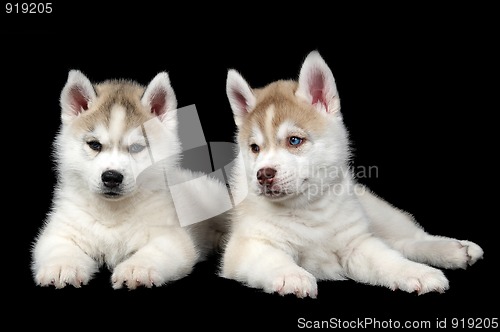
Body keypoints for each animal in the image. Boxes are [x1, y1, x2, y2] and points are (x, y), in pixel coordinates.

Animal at [31, 69, 227, 288]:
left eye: (136, 148)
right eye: (95, 145)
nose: (112, 177)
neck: (112, 213)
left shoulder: (171, 236)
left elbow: (155, 251)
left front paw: (137, 268)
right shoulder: (59, 232)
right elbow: (59, 247)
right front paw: (62, 266)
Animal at [220, 50, 484, 296]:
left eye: (294, 140)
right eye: (255, 148)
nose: (263, 174)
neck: (308, 209)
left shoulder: (357, 243)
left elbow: (389, 260)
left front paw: (415, 272)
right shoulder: (247, 245)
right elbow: (273, 258)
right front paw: (292, 275)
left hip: (377, 214)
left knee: (408, 238)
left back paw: (458, 249)